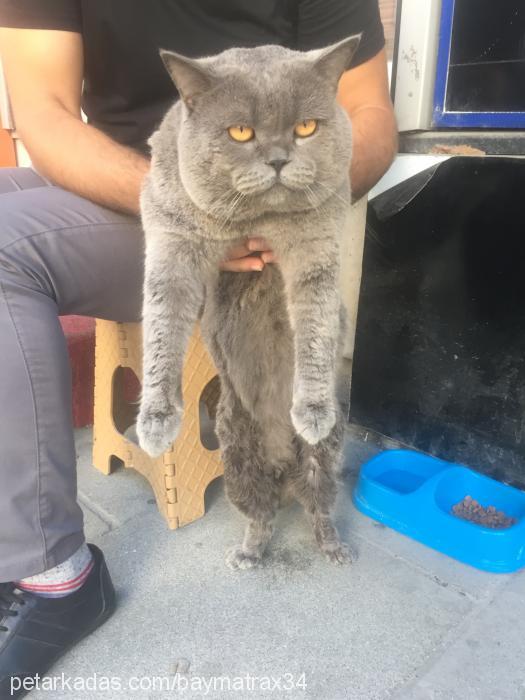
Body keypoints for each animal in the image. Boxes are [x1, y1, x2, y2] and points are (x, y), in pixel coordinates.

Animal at [136, 35, 360, 568]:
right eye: (240, 131)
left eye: (306, 127)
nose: (278, 158)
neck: (255, 222)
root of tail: (283, 467)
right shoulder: (172, 238)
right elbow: (161, 323)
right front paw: (155, 423)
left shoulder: (318, 245)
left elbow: (317, 327)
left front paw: (312, 407)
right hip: (236, 455)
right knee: (261, 516)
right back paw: (248, 554)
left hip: (325, 459)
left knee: (319, 509)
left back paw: (333, 548)